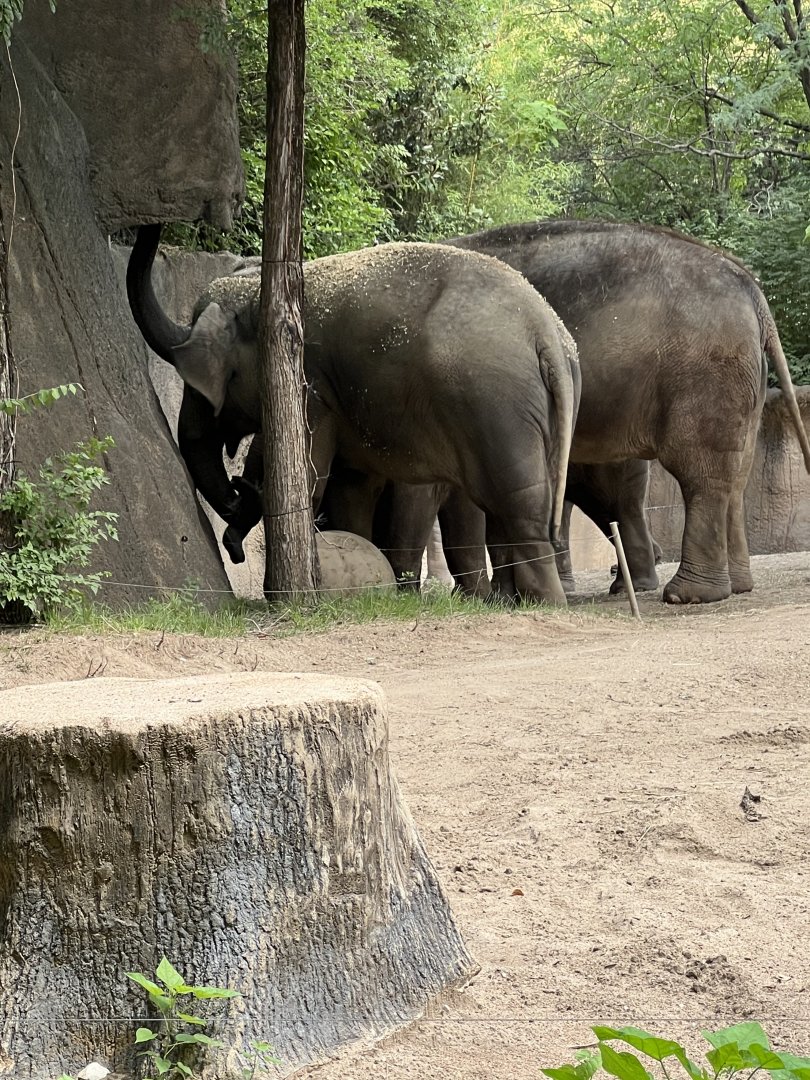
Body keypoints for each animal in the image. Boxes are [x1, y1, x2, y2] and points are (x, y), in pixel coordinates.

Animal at [127, 224, 581, 604]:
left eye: (196, 384)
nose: (235, 551)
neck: (258, 295)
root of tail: (546, 333)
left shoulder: (310, 384)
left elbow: (307, 480)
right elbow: (350, 489)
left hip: (495, 406)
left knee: (518, 504)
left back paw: (544, 602)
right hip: (537, 413)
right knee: (508, 505)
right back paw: (508, 601)